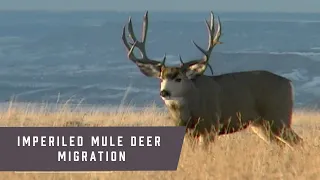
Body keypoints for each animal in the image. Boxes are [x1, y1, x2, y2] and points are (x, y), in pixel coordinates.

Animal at [120, 10, 302, 149]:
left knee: (297, 141)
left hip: (278, 116)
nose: (164, 92)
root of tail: (289, 83)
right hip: (261, 125)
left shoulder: (211, 126)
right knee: (281, 144)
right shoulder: (187, 132)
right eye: (161, 78)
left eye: (179, 78)